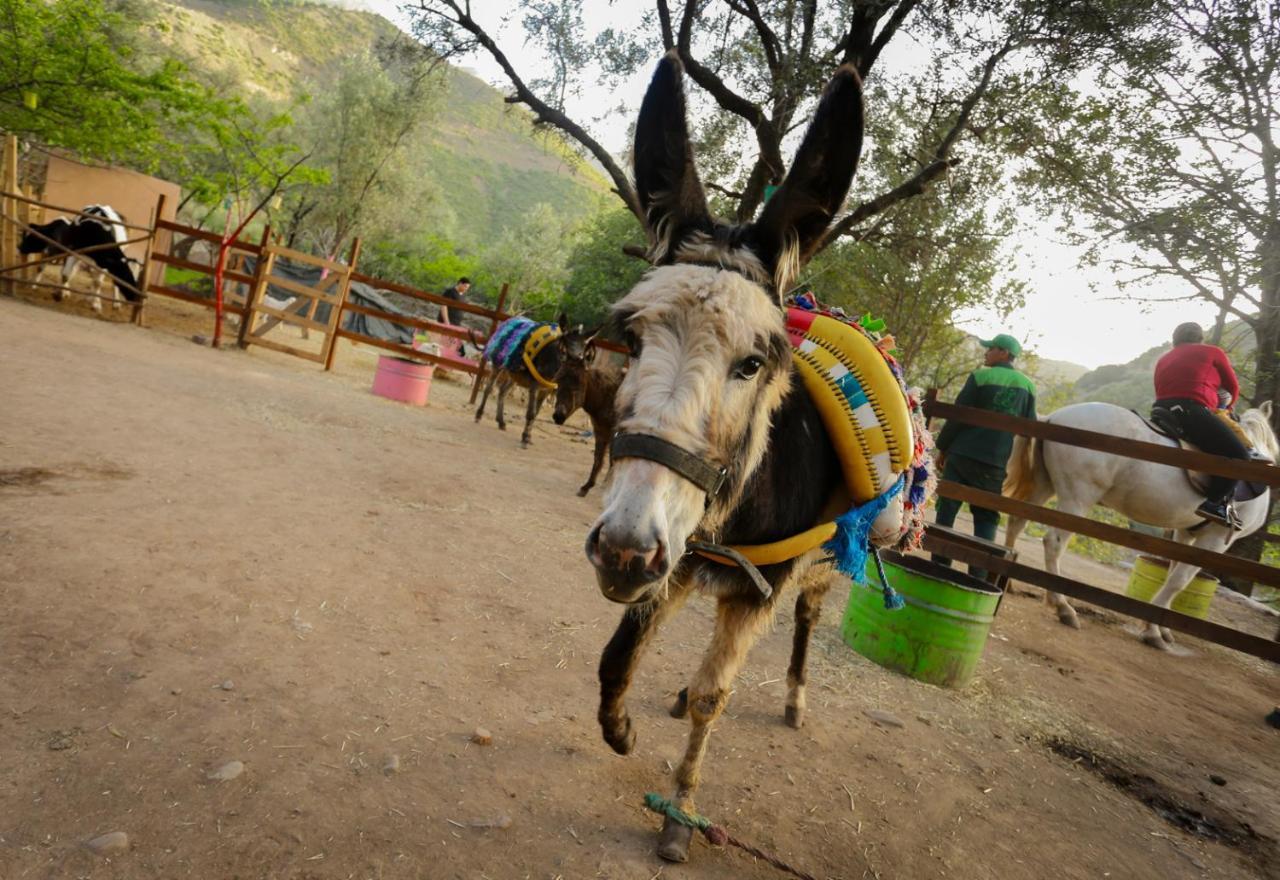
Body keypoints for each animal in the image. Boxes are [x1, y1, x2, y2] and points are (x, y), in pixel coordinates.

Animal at [1003, 401, 1274, 649]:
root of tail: (1055, 416)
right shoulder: (1216, 540)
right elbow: (1179, 580)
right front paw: (1153, 631)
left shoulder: (1185, 533)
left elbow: (1173, 573)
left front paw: (1163, 628)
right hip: (1078, 497)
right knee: (1053, 543)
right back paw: (1063, 606)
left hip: (1044, 485)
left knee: (1017, 521)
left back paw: (1009, 579)